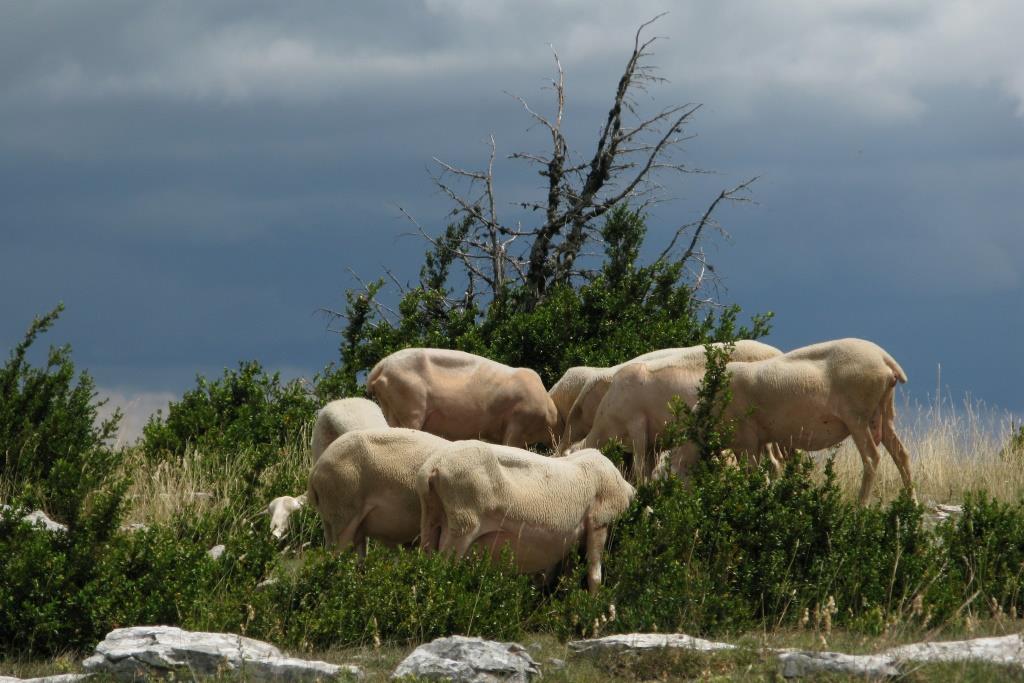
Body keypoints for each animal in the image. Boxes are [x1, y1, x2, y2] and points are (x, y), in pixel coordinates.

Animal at [415, 444, 630, 593]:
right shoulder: (599, 522)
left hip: (431, 518)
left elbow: (567, 577)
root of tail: (434, 466)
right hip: (463, 525)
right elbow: (594, 575)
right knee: (441, 573)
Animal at [663, 337, 921, 505]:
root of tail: (884, 358)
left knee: (871, 459)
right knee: (902, 456)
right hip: (883, 414)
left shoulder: (746, 442)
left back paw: (861, 507)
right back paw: (912, 505)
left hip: (857, 416)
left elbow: (752, 473)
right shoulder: (757, 441)